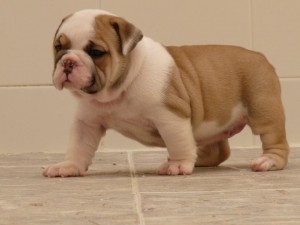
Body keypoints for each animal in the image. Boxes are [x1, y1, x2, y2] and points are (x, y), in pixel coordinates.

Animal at [42, 9, 288, 178]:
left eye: (96, 52)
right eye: (58, 47)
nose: (68, 62)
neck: (122, 85)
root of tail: (260, 56)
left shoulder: (170, 116)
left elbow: (177, 141)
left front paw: (177, 164)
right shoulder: (88, 123)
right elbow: (78, 146)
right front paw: (69, 166)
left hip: (263, 110)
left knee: (275, 141)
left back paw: (268, 161)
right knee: (217, 149)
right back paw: (198, 158)